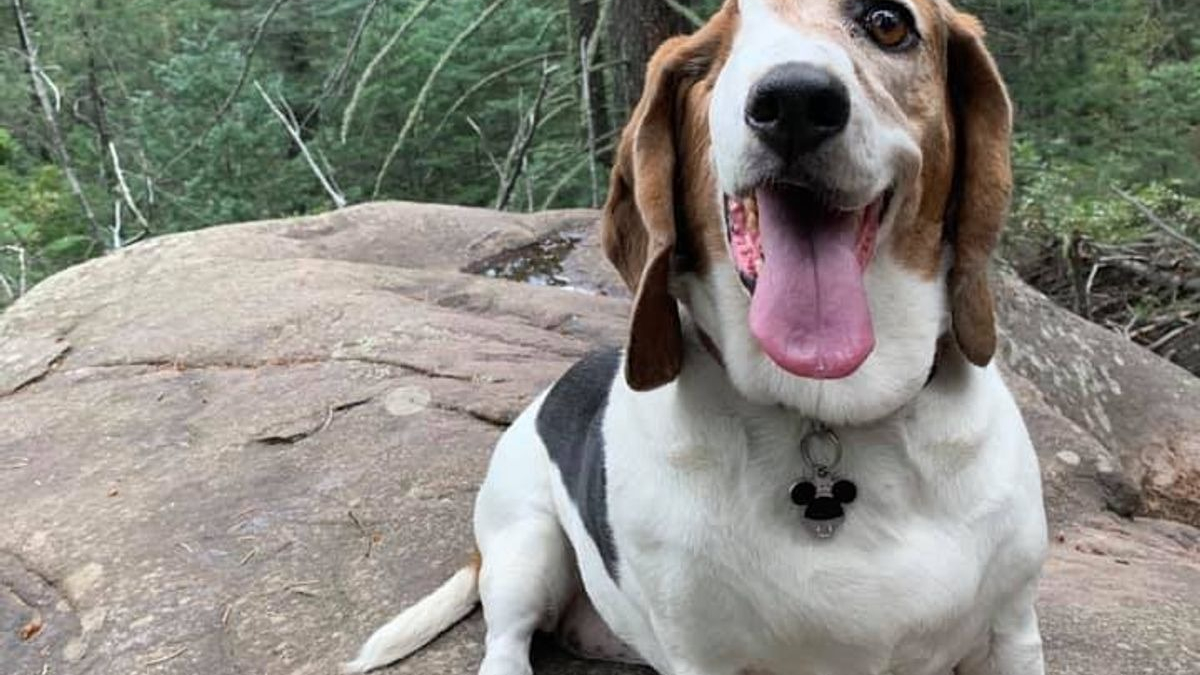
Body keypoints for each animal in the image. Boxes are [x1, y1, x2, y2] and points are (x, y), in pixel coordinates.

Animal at [343, 1, 1046, 672]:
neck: (828, 413)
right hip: (527, 544)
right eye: (708, 61)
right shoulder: (704, 657)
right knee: (506, 641)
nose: (794, 101)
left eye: (888, 23)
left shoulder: (1011, 632)